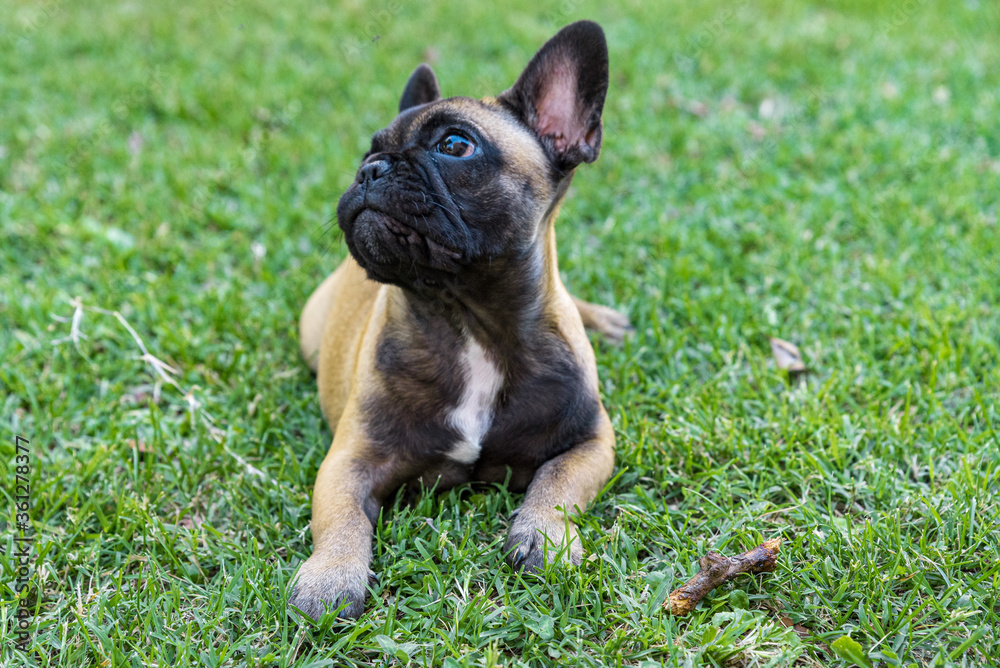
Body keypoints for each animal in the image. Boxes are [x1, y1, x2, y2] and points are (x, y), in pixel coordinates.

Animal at [292, 18, 628, 620]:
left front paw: (544, 536)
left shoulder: (591, 440)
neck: (464, 317)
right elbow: (340, 516)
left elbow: (559, 484)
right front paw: (330, 576)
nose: (369, 170)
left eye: (455, 145)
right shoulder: (349, 459)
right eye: (369, 150)